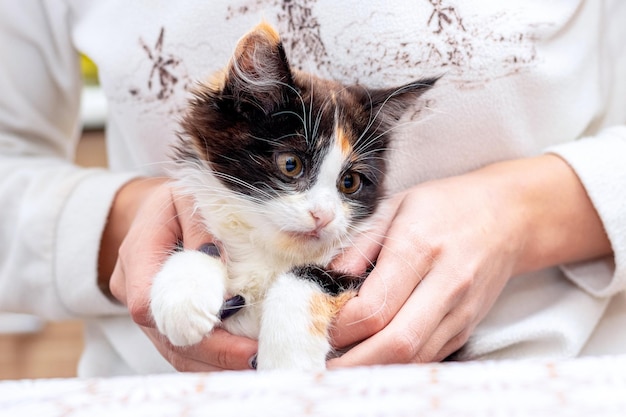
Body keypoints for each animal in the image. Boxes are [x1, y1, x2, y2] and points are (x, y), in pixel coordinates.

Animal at [149, 22, 436, 368]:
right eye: (291, 164)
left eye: (350, 182)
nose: (322, 216)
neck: (273, 252)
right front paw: (184, 293)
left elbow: (311, 275)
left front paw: (288, 361)